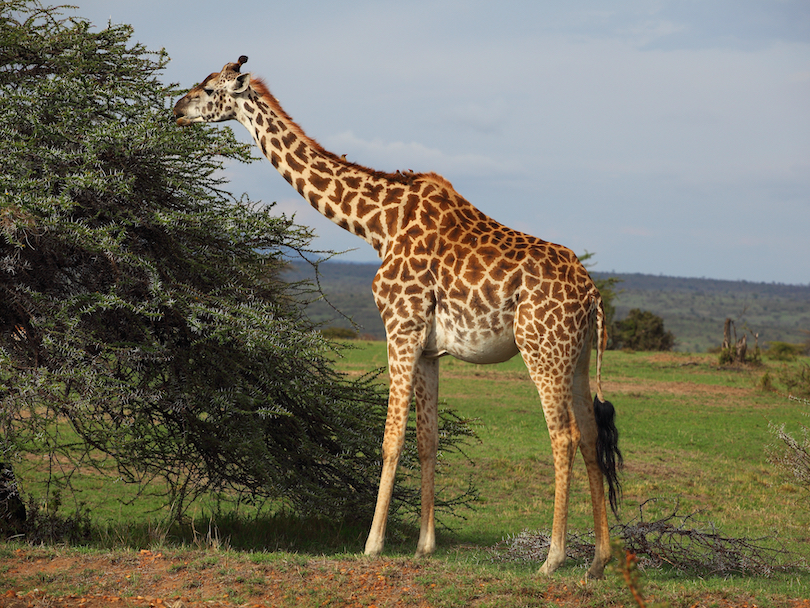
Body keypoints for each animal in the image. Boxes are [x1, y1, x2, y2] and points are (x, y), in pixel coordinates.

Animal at [174, 54, 620, 576]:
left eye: (209, 88)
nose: (176, 109)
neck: (377, 224)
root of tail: (593, 295)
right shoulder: (428, 348)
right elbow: (427, 439)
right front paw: (425, 545)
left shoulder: (400, 327)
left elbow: (389, 439)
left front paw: (372, 543)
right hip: (576, 355)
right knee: (590, 435)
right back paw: (598, 561)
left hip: (542, 348)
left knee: (563, 437)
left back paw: (552, 559)